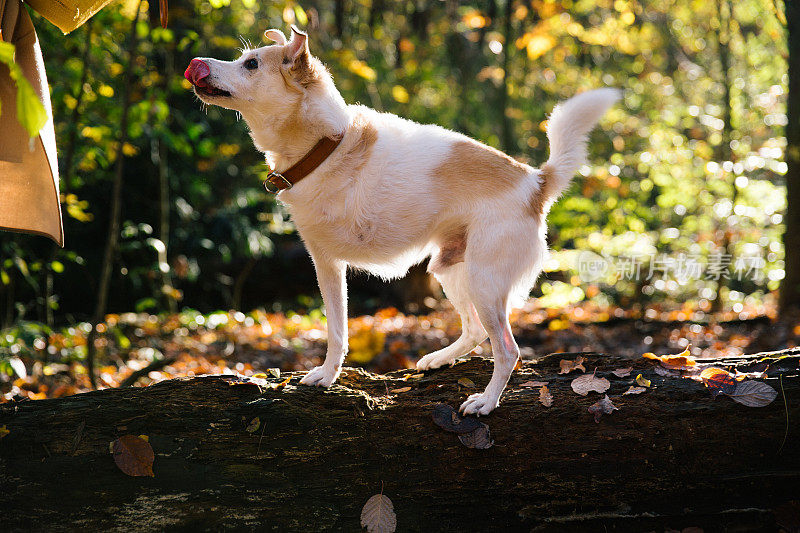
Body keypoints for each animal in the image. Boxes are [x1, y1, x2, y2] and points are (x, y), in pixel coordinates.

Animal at [186, 25, 620, 416]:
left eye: (251, 64)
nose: (195, 64)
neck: (325, 146)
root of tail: (535, 181)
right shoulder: (327, 263)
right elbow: (338, 328)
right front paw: (329, 373)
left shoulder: (327, 262)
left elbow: (336, 331)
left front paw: (327, 375)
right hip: (450, 270)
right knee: (476, 330)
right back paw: (440, 359)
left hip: (484, 282)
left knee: (507, 350)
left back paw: (486, 401)